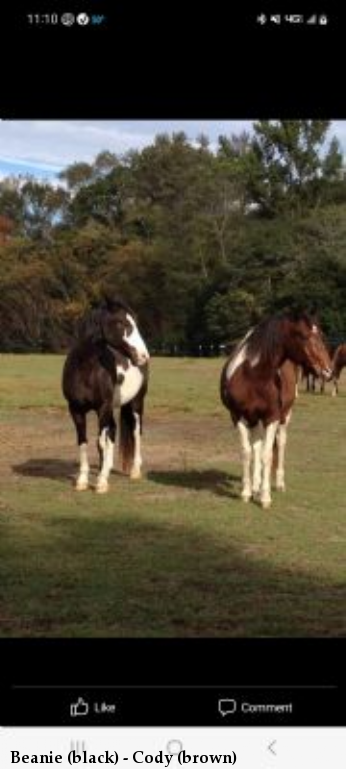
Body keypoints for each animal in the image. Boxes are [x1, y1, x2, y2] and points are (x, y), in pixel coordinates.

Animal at [62, 296, 149, 488]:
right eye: (122, 323)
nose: (144, 356)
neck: (85, 370)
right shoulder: (76, 410)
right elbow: (83, 442)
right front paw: (82, 480)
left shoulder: (102, 407)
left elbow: (100, 442)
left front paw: (101, 482)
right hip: (111, 408)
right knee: (113, 431)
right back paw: (107, 467)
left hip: (136, 403)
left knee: (136, 432)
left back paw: (134, 471)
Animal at [222, 308, 332, 508]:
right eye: (304, 336)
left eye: (320, 335)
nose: (328, 370)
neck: (253, 375)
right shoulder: (238, 416)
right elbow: (248, 452)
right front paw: (247, 492)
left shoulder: (272, 417)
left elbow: (267, 454)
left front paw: (265, 497)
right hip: (254, 419)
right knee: (256, 446)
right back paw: (256, 486)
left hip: (284, 416)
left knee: (280, 444)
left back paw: (279, 484)